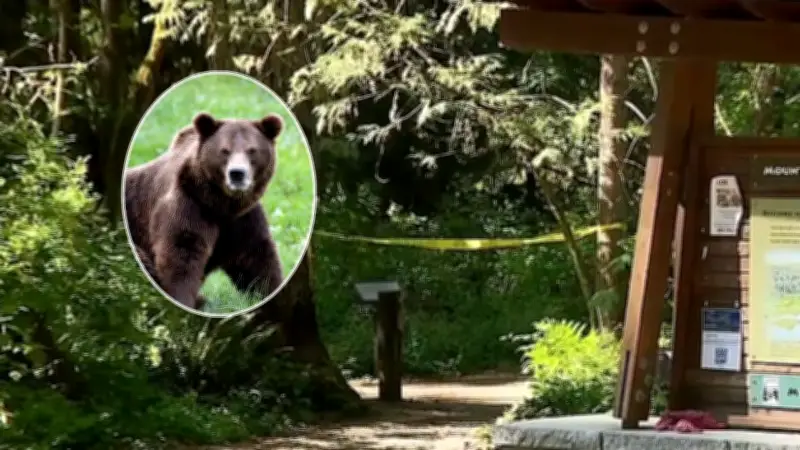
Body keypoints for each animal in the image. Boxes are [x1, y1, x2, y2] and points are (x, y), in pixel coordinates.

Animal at [124, 112, 285, 311]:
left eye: (252, 150)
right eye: (225, 150)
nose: (237, 174)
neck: (220, 204)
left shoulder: (241, 221)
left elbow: (257, 261)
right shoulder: (189, 205)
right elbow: (181, 255)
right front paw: (182, 299)